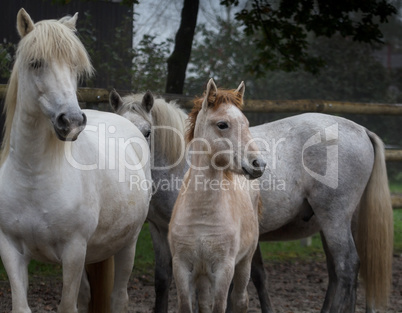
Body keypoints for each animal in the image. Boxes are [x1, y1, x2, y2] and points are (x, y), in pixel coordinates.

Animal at [0, 7, 151, 312]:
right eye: (36, 63)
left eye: (74, 67)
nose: (71, 121)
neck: (33, 176)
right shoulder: (10, 250)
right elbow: (23, 305)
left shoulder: (73, 250)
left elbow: (68, 305)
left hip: (127, 244)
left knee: (119, 297)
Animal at [168, 79, 266, 310]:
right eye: (222, 124)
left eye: (246, 123)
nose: (259, 164)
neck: (201, 212)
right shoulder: (181, 267)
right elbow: (187, 305)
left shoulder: (224, 269)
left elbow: (220, 305)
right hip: (203, 276)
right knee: (204, 301)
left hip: (244, 263)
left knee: (240, 299)